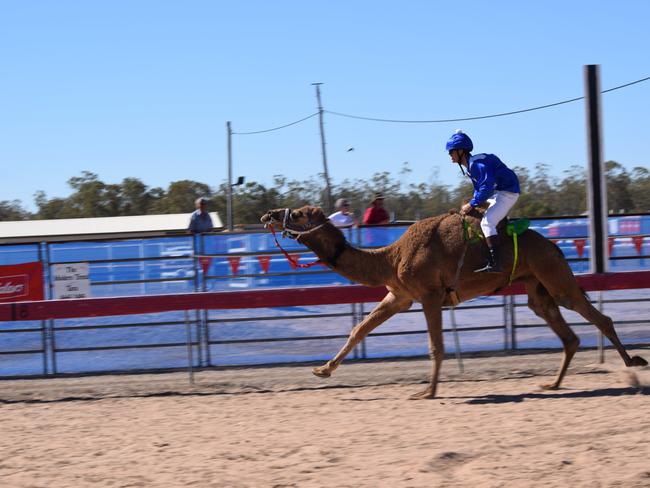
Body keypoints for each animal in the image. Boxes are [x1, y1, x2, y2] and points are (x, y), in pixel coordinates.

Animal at [258, 204, 644, 398]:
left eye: (299, 213)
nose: (270, 214)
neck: (391, 257)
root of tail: (555, 246)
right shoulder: (399, 295)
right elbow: (360, 329)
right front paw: (322, 370)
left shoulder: (429, 295)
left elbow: (436, 346)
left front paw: (427, 392)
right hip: (537, 287)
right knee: (568, 334)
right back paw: (553, 384)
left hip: (552, 274)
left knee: (597, 317)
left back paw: (633, 364)